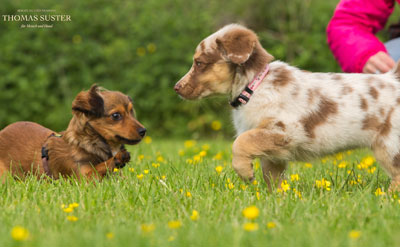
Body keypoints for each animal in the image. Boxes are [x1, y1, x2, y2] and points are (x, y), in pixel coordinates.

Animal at [0, 85, 145, 179]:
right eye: (116, 116)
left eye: (131, 112)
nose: (144, 131)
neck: (87, 143)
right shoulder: (83, 177)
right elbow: (97, 168)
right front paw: (118, 158)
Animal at [174, 23, 400, 189]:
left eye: (199, 63)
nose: (177, 87)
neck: (254, 85)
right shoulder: (273, 151)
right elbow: (272, 176)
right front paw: (278, 198)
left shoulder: (284, 130)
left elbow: (241, 142)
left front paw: (245, 172)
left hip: (389, 144)